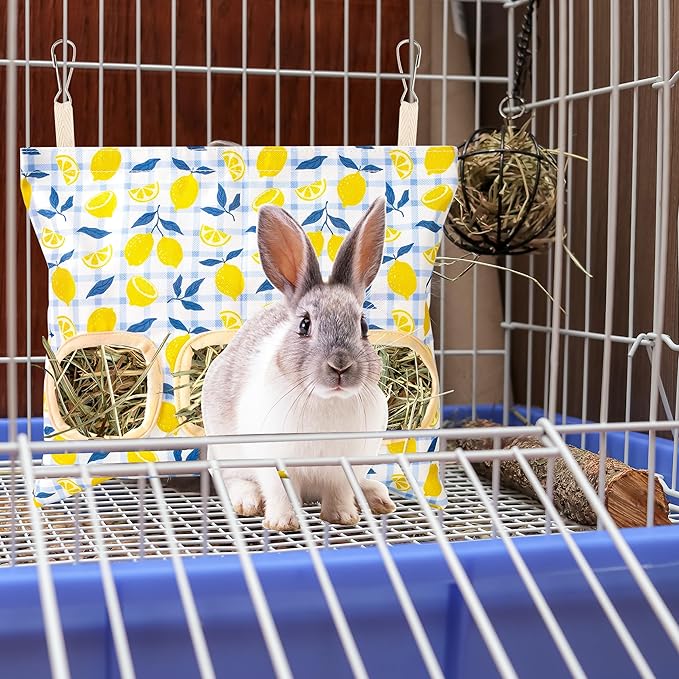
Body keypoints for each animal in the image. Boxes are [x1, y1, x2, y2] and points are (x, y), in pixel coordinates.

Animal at [201, 196, 396, 532]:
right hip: (226, 453)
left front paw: (343, 517)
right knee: (233, 479)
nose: (340, 366)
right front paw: (281, 523)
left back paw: (377, 498)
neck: (327, 400)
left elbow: (339, 493)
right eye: (304, 325)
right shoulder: (273, 463)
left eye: (363, 326)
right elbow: (279, 493)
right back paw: (247, 503)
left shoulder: (344, 466)